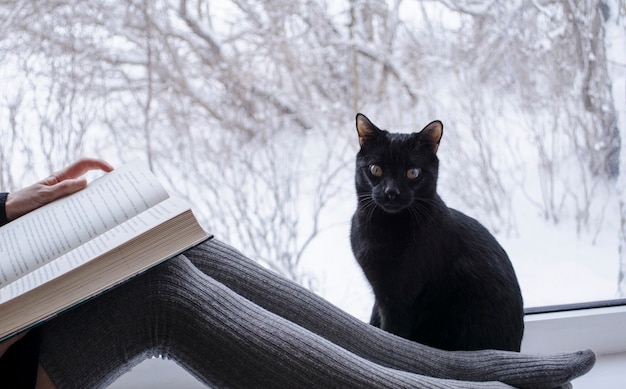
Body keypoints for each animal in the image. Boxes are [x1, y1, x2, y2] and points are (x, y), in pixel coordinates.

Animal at [352, 113, 520, 352]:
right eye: (376, 169)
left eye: (413, 173)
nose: (391, 192)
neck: (382, 228)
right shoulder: (380, 294)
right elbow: (375, 320)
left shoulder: (399, 301)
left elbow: (391, 334)